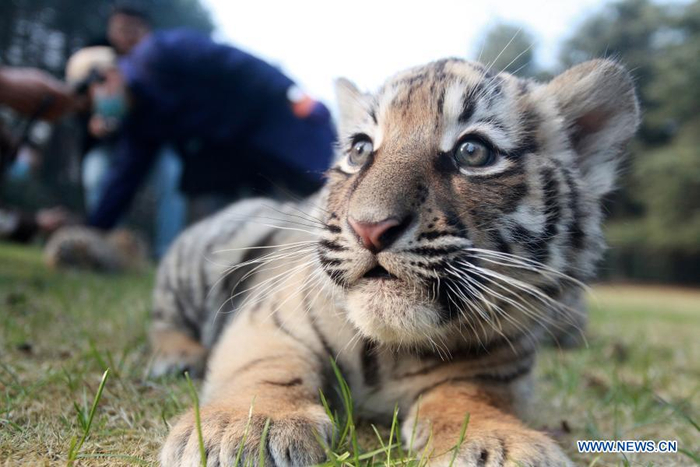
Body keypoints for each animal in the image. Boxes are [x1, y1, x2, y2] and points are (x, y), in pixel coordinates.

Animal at [153, 58, 639, 466]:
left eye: (473, 152)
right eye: (360, 150)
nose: (370, 228)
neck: (389, 350)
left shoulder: (495, 368)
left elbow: (469, 398)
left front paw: (499, 445)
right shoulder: (269, 320)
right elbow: (267, 369)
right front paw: (245, 429)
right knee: (166, 317)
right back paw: (175, 357)